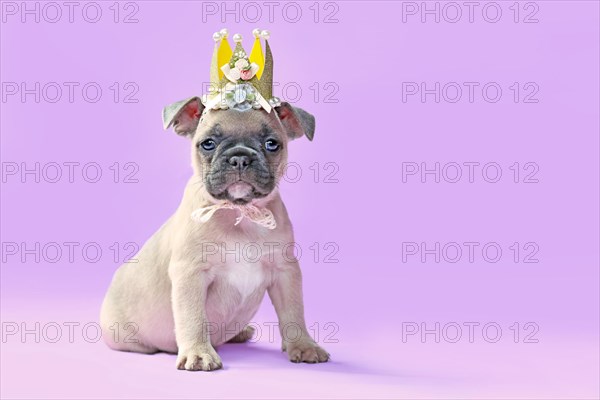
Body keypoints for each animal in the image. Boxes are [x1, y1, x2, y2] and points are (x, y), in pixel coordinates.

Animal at [101, 97, 330, 372]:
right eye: (208, 143)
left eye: (272, 144)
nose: (240, 157)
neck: (238, 212)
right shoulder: (191, 275)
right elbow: (194, 318)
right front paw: (199, 353)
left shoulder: (285, 272)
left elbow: (294, 313)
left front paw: (304, 345)